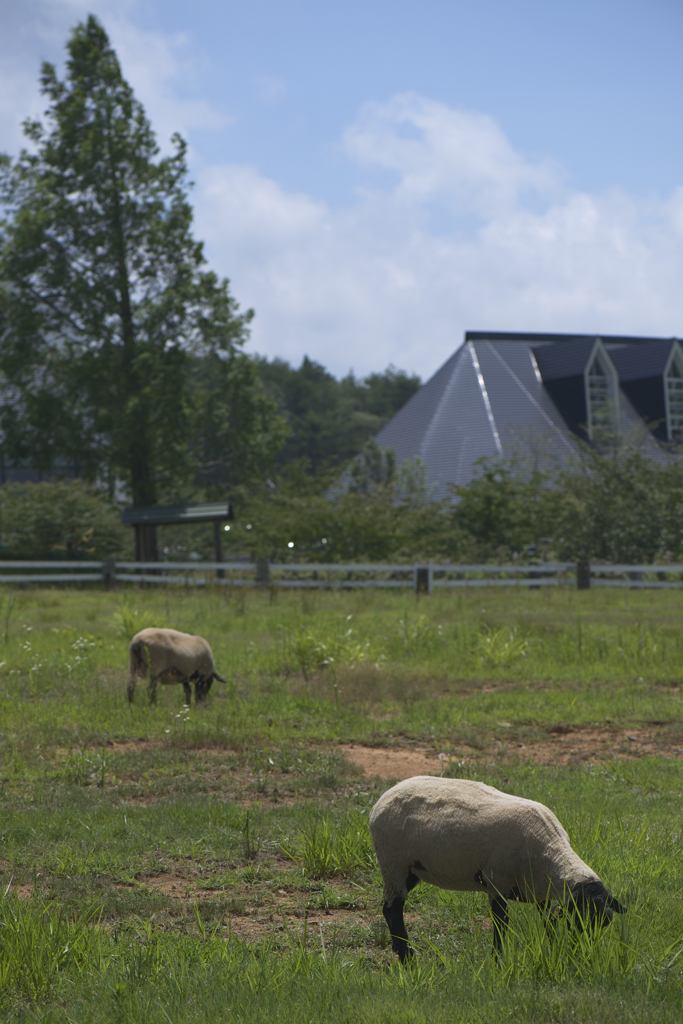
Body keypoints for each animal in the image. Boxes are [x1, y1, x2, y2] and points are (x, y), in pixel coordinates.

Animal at [368, 774, 626, 958]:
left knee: (388, 908)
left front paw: (552, 949)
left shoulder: (540, 890)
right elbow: (501, 923)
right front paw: (498, 958)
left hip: (411, 869)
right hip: (393, 862)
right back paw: (407, 956)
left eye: (605, 923)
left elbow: (547, 920)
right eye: (579, 921)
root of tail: (383, 798)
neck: (550, 849)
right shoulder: (497, 881)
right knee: (394, 909)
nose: (585, 954)